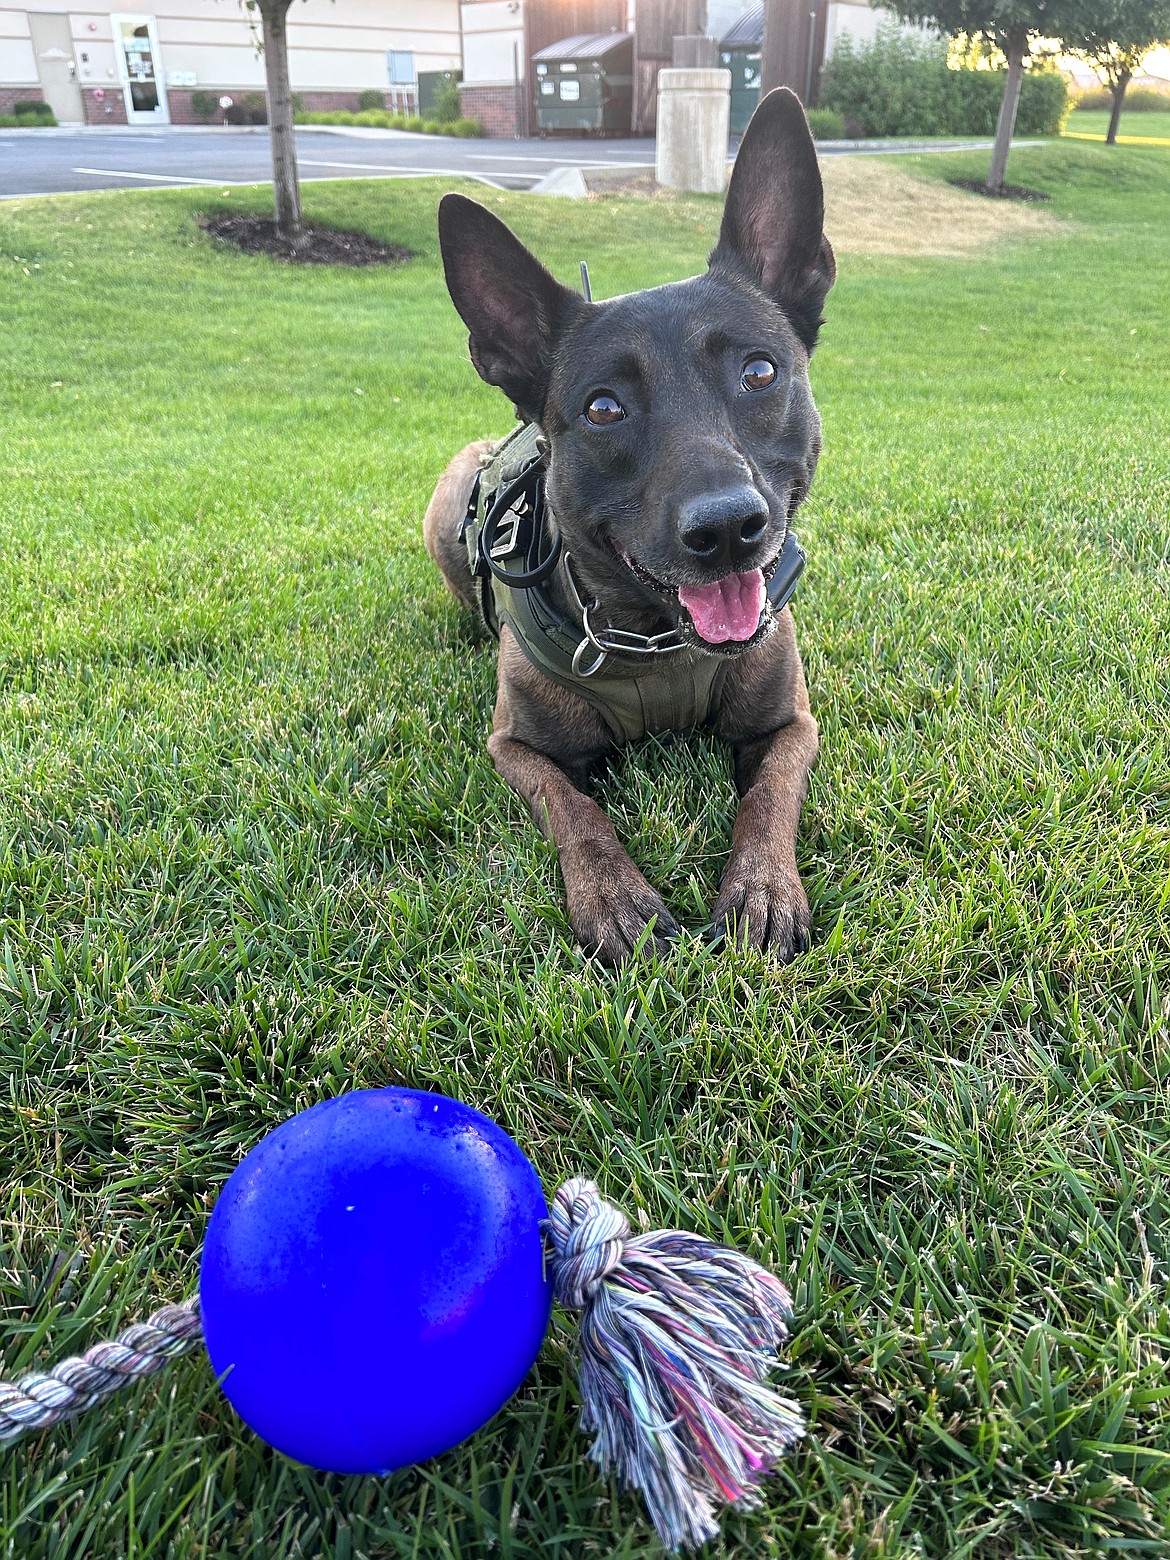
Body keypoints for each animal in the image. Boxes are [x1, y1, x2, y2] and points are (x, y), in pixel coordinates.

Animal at [427, 88, 836, 960]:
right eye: (603, 408)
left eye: (759, 371)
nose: (727, 529)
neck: (654, 641)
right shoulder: (517, 748)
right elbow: (577, 812)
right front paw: (616, 899)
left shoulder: (792, 723)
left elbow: (770, 795)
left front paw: (762, 887)